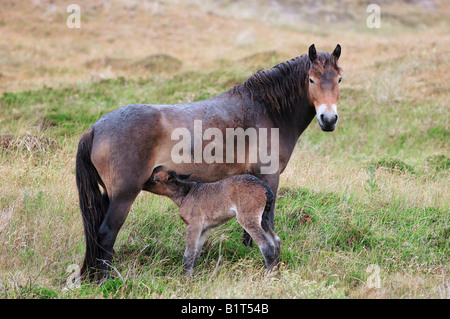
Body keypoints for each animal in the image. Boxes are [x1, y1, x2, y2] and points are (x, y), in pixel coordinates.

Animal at [149, 170, 280, 278]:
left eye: (155, 179)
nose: (147, 180)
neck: (186, 194)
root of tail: (265, 188)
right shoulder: (204, 229)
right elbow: (196, 254)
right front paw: (192, 276)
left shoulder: (193, 225)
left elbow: (188, 255)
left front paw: (186, 280)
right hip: (264, 219)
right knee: (276, 241)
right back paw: (276, 271)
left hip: (248, 218)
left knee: (266, 246)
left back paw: (269, 276)